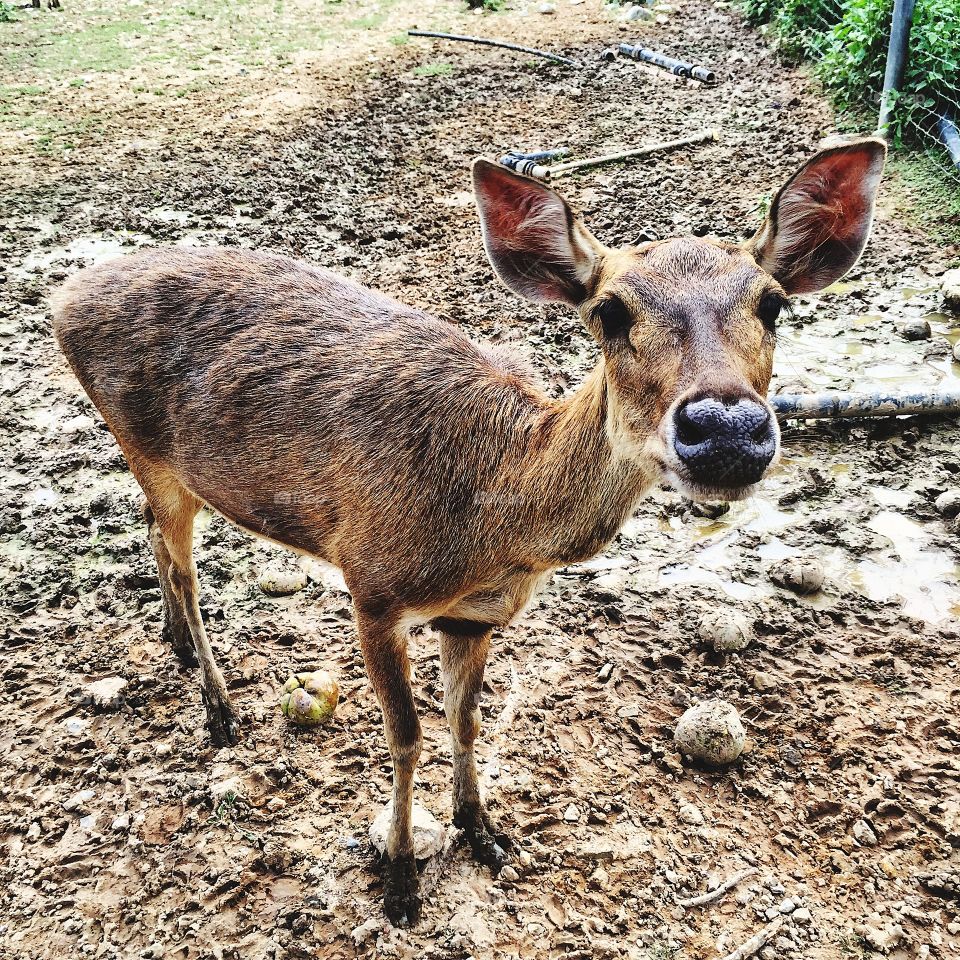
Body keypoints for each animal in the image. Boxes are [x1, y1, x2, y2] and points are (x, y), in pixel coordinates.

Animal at [52, 136, 886, 926]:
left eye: (772, 304)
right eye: (609, 311)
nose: (726, 431)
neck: (492, 525)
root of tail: (64, 296)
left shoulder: (474, 615)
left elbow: (468, 720)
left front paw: (482, 831)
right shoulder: (372, 584)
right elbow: (406, 735)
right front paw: (399, 882)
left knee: (151, 533)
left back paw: (175, 643)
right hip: (150, 448)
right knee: (185, 566)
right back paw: (219, 708)